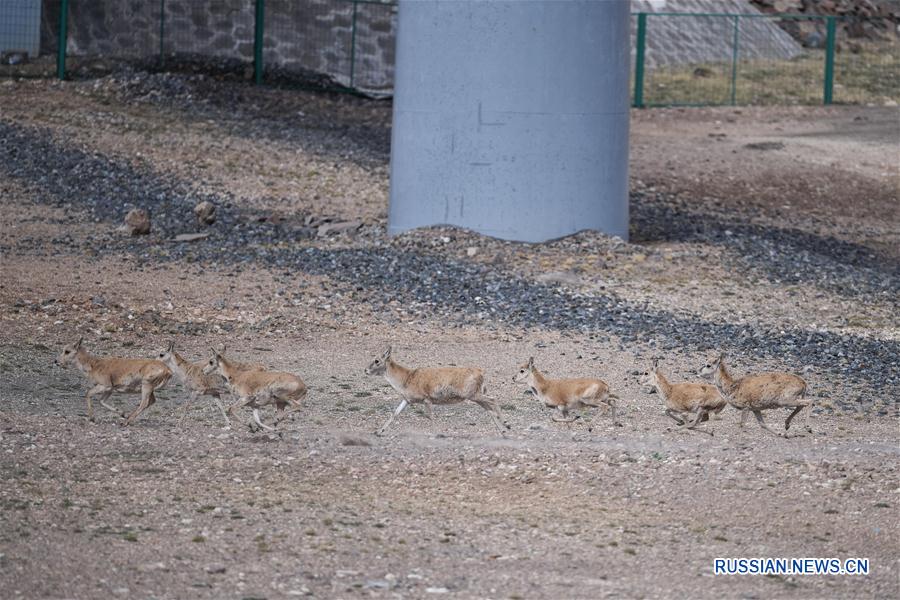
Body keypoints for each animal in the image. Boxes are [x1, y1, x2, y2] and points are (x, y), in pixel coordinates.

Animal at [364, 346, 506, 436]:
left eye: (377, 360)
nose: (365, 370)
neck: (406, 378)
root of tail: (480, 372)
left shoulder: (426, 399)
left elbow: (429, 416)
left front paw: (437, 433)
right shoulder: (407, 400)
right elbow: (395, 413)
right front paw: (378, 432)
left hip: (473, 395)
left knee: (493, 400)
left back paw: (506, 425)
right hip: (475, 396)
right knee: (490, 409)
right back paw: (503, 431)